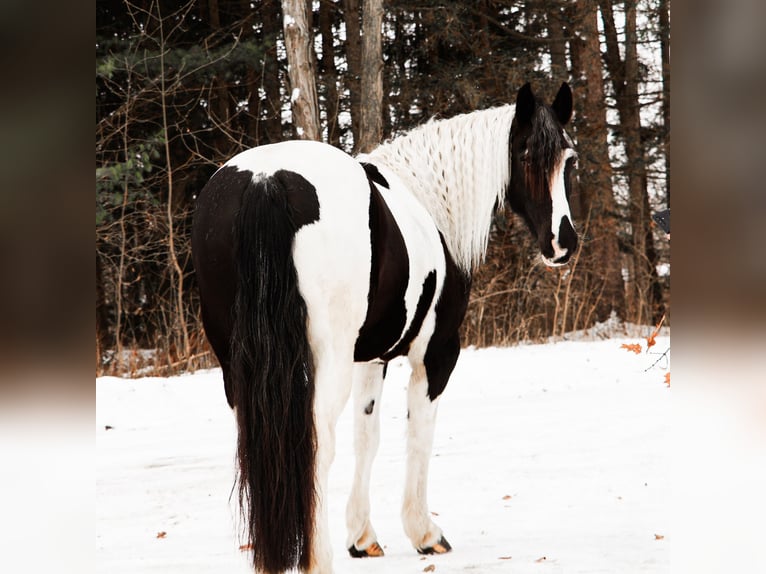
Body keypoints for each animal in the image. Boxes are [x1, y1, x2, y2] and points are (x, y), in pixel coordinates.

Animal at [191, 81, 578, 574]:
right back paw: (317, 558)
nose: (563, 243)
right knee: (315, 444)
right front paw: (424, 533)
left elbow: (367, 437)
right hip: (328, 361)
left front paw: (362, 537)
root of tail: (265, 179)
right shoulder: (435, 355)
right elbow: (418, 436)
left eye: (569, 161)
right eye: (527, 156)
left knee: (258, 446)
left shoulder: (371, 358)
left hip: (237, 366)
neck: (428, 200)